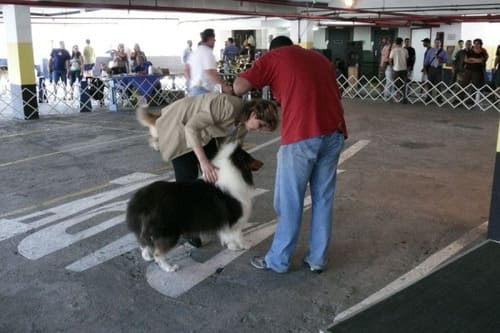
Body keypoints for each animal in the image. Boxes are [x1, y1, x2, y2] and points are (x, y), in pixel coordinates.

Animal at [127, 141, 256, 272]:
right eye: (250, 157)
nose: (261, 163)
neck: (235, 172)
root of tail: (141, 200)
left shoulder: (225, 222)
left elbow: (227, 234)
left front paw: (232, 246)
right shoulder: (235, 219)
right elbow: (238, 235)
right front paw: (245, 245)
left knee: (144, 244)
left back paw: (147, 256)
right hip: (168, 232)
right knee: (158, 253)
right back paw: (170, 268)